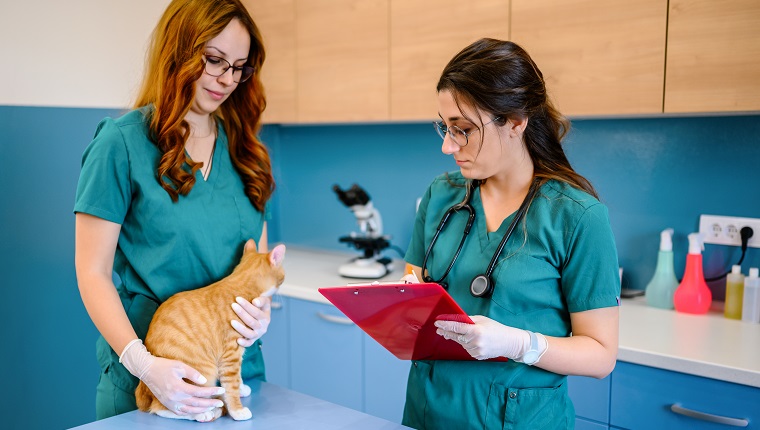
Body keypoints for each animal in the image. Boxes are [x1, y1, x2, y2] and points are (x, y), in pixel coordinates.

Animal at [134, 240, 284, 422]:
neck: (239, 283)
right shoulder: (230, 356)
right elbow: (231, 384)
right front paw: (237, 410)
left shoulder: (237, 354)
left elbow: (237, 378)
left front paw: (242, 389)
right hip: (199, 377)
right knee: (162, 408)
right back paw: (201, 413)